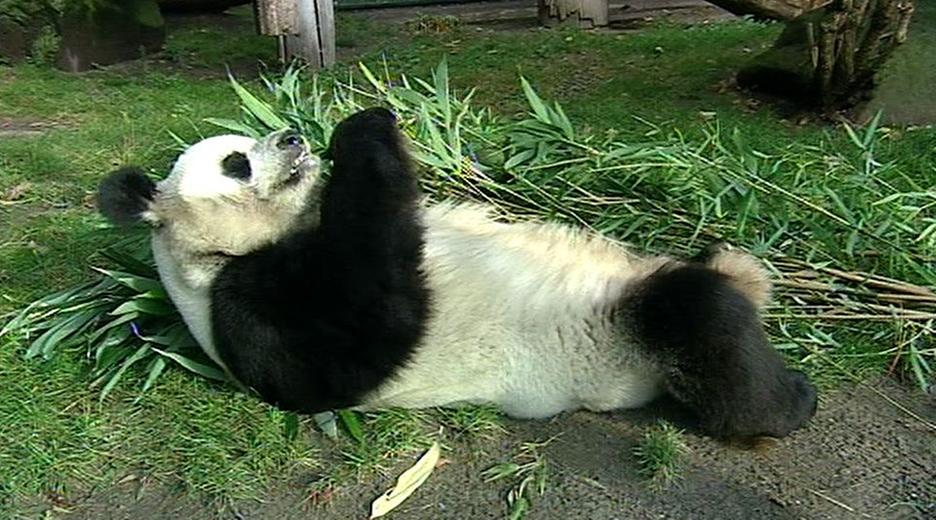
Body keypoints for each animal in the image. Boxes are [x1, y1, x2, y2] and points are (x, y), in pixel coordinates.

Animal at [97, 107, 817, 442]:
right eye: (237, 163)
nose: (294, 138)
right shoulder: (251, 312)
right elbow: (373, 317)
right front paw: (361, 130)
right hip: (617, 341)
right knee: (699, 317)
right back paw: (787, 400)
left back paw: (732, 258)